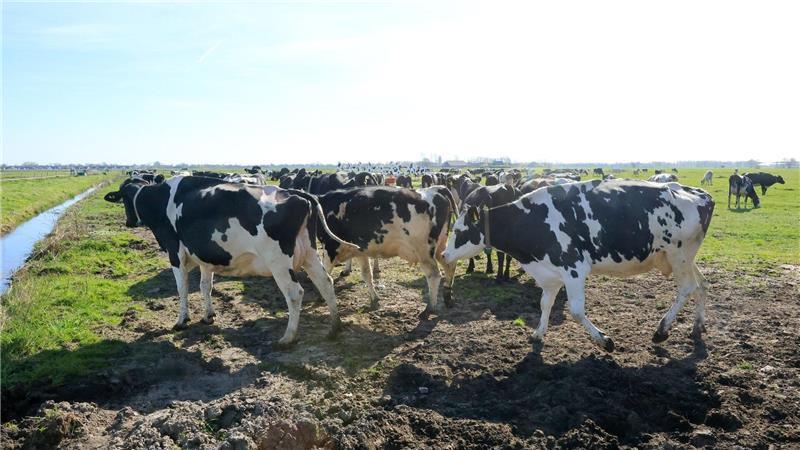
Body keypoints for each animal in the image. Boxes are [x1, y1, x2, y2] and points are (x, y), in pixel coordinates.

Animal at [103, 176, 359, 346]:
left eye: (124, 198)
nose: (128, 222)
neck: (160, 200)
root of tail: (296, 193)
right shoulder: (205, 257)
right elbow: (205, 286)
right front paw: (208, 315)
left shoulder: (175, 253)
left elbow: (182, 288)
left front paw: (181, 320)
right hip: (308, 254)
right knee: (325, 282)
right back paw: (335, 328)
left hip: (278, 261)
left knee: (295, 293)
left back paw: (288, 337)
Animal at [316, 186, 457, 315]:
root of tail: (436, 189)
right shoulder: (360, 251)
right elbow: (367, 275)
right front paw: (374, 298)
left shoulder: (330, 248)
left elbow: (324, 275)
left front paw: (320, 296)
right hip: (440, 246)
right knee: (449, 264)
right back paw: (448, 296)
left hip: (424, 251)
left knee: (434, 275)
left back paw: (430, 308)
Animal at [442, 180, 715, 351]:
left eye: (459, 231)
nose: (444, 254)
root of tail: (700, 194)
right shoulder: (549, 272)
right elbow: (545, 303)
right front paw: (539, 333)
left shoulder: (574, 268)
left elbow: (575, 311)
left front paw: (604, 340)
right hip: (685, 258)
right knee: (702, 284)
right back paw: (697, 326)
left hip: (679, 256)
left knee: (687, 289)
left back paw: (661, 330)